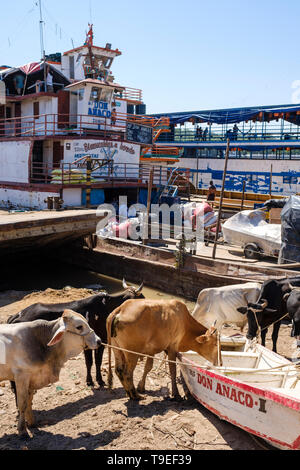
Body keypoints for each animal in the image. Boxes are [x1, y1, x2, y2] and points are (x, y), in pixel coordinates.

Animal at [0, 308, 101, 436]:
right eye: (79, 327)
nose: (99, 341)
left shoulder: (32, 378)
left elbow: (29, 401)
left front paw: (32, 423)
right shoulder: (21, 377)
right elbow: (22, 404)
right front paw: (22, 430)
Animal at [7, 280, 145, 388]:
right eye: (141, 297)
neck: (106, 308)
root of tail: (17, 314)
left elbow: (94, 362)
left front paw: (95, 380)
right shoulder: (97, 342)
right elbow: (93, 362)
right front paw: (94, 381)